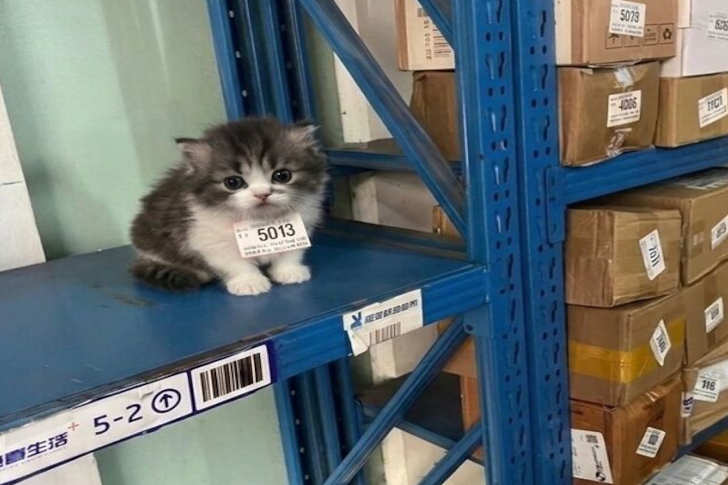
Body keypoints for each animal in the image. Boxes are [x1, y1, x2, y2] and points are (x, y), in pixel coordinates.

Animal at [130, 117, 328, 296]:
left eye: (282, 175)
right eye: (233, 182)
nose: (262, 194)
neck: (260, 220)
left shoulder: (303, 223)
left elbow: (291, 252)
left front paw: (289, 271)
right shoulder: (207, 238)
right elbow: (235, 263)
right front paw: (249, 282)